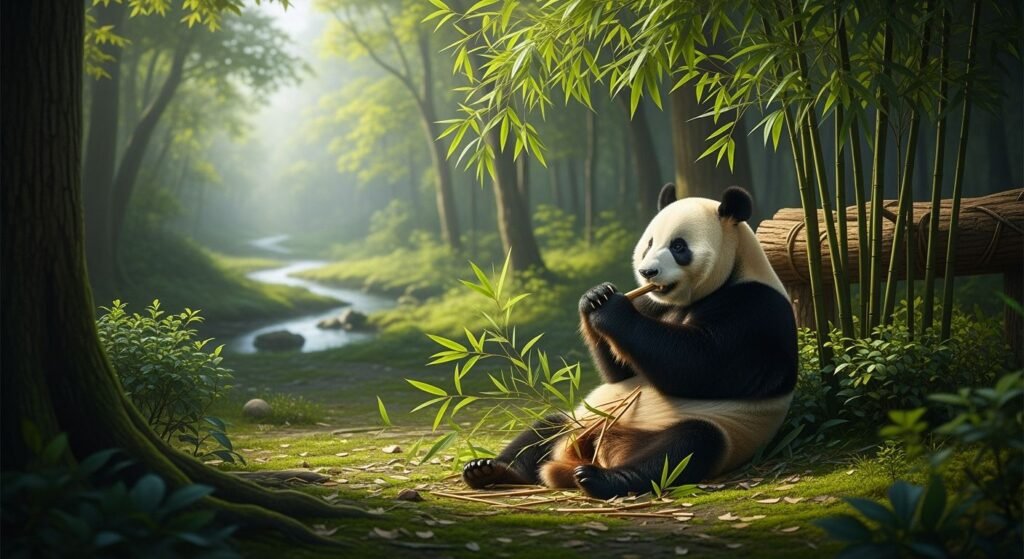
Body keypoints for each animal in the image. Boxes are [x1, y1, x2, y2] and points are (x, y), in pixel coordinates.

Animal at [462, 185, 798, 499]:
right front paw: (595, 296)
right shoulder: (653, 304)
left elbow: (699, 365)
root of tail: (596, 450)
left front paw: (611, 309)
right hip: (579, 419)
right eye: (650, 242)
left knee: (683, 448)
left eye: (679, 246)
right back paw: (490, 470)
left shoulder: (754, 311)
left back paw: (599, 479)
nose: (647, 272)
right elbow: (621, 373)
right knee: (544, 428)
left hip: (718, 427)